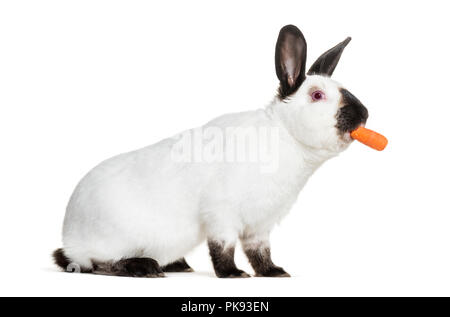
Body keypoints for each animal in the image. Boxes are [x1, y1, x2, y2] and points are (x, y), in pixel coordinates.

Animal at [53, 24, 370, 276]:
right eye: (317, 95)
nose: (364, 115)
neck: (285, 137)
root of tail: (69, 233)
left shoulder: (260, 225)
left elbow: (260, 252)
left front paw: (274, 273)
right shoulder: (222, 214)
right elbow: (223, 248)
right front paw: (233, 275)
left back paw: (178, 265)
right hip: (106, 244)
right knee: (94, 263)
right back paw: (144, 267)